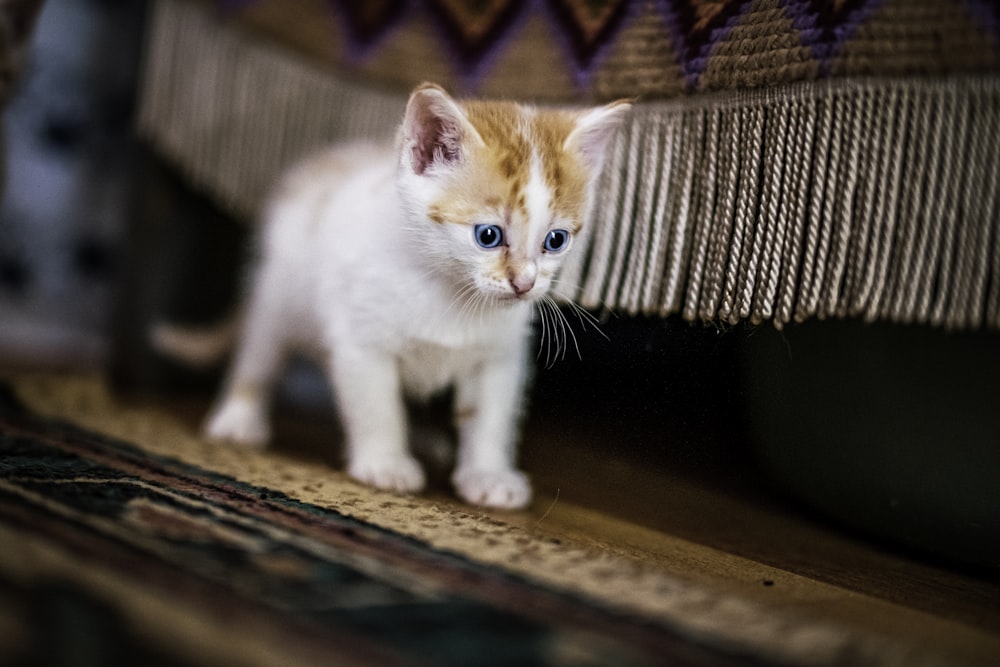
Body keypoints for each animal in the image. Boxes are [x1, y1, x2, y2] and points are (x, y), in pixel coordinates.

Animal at [206, 85, 628, 512]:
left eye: (556, 240)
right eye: (488, 235)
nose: (524, 283)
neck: (452, 291)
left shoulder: (499, 356)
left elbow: (489, 416)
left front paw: (487, 475)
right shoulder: (362, 341)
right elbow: (377, 405)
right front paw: (385, 464)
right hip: (278, 293)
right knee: (260, 354)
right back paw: (239, 418)